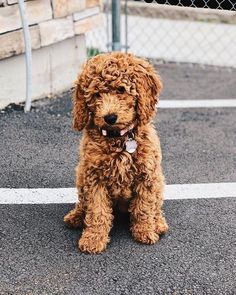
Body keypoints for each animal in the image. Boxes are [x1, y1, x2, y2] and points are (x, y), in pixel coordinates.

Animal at [63, 51, 169, 254]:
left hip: (159, 180)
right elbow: (97, 211)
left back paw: (159, 223)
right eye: (96, 94)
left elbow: (144, 207)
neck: (119, 138)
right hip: (80, 176)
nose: (110, 117)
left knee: (156, 206)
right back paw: (76, 217)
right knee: (83, 203)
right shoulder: (94, 178)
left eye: (121, 90)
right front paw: (93, 239)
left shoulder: (146, 176)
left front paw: (144, 232)